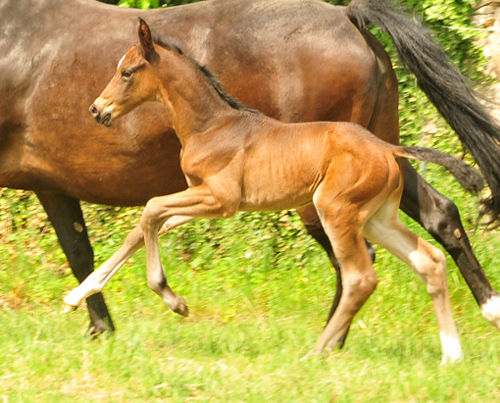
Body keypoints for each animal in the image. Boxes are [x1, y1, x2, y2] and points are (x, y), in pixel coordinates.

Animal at [63, 19, 484, 362]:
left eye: (127, 72)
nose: (97, 109)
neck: (210, 125)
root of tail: (388, 149)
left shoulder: (221, 199)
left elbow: (150, 209)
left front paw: (174, 300)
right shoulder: (201, 196)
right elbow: (145, 226)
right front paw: (75, 297)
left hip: (335, 210)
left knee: (360, 278)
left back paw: (317, 351)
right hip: (378, 218)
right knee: (429, 260)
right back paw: (451, 354)